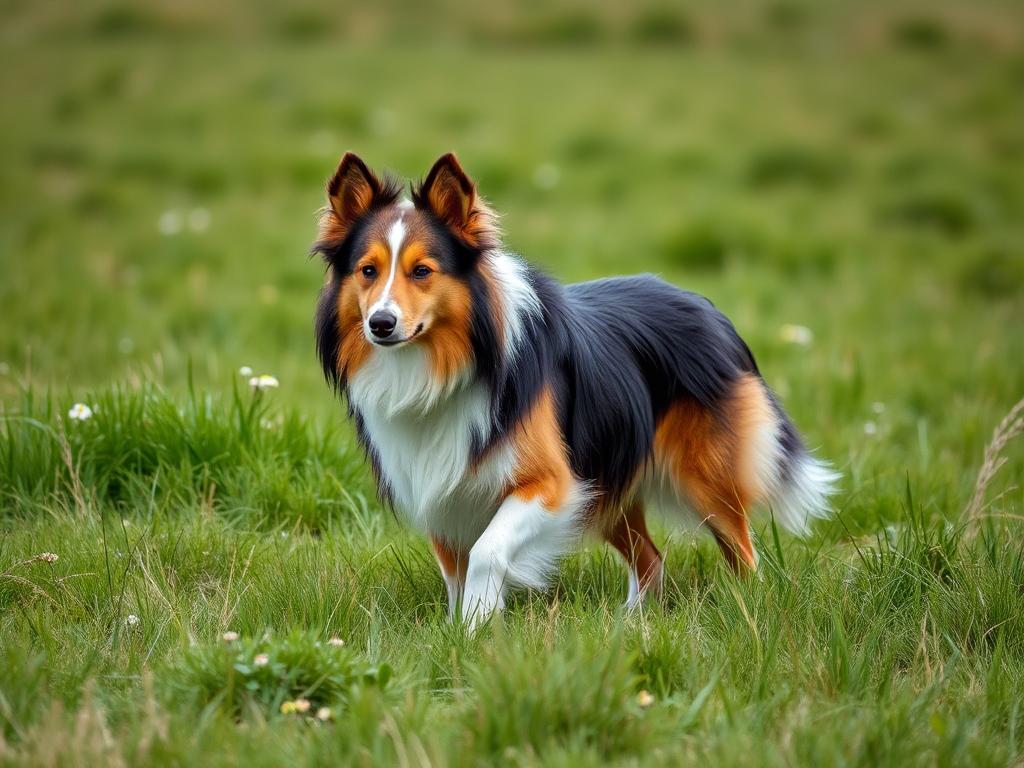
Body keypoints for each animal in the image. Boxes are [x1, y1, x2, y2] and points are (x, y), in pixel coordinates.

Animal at [313, 153, 839, 626]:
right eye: (367, 270)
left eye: (421, 271)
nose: (381, 324)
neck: (447, 364)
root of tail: (709, 309)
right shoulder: (442, 490)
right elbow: (454, 573)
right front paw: (460, 632)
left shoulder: (553, 483)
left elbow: (486, 552)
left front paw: (478, 627)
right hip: (612, 484)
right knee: (651, 560)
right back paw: (630, 624)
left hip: (705, 477)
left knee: (743, 552)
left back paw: (749, 609)